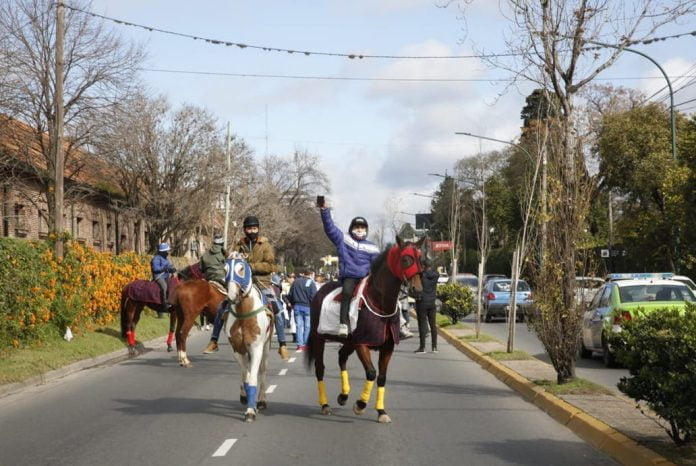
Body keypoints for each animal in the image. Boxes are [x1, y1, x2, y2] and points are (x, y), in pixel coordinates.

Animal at [304, 237, 424, 422]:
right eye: (405, 259)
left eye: (421, 260)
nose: (417, 290)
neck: (380, 303)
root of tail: (320, 290)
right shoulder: (362, 344)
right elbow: (371, 373)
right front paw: (360, 405)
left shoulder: (387, 347)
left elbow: (381, 377)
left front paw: (381, 411)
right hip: (319, 338)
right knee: (320, 368)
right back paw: (325, 405)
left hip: (349, 342)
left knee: (341, 357)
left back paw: (344, 395)